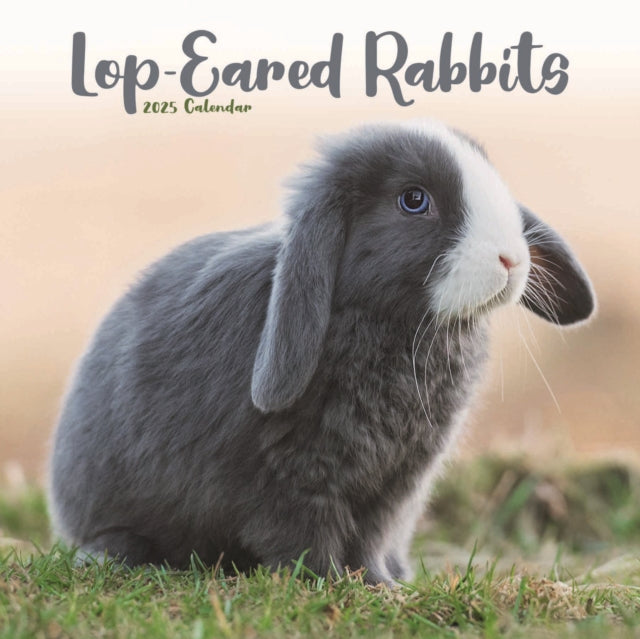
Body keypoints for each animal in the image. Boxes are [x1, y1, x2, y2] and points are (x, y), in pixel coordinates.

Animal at [48, 119, 595, 584]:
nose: (512, 258)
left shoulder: (397, 484)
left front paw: (378, 583)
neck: (389, 325)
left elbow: (371, 536)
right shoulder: (291, 476)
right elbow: (305, 533)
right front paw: (333, 583)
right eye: (413, 200)